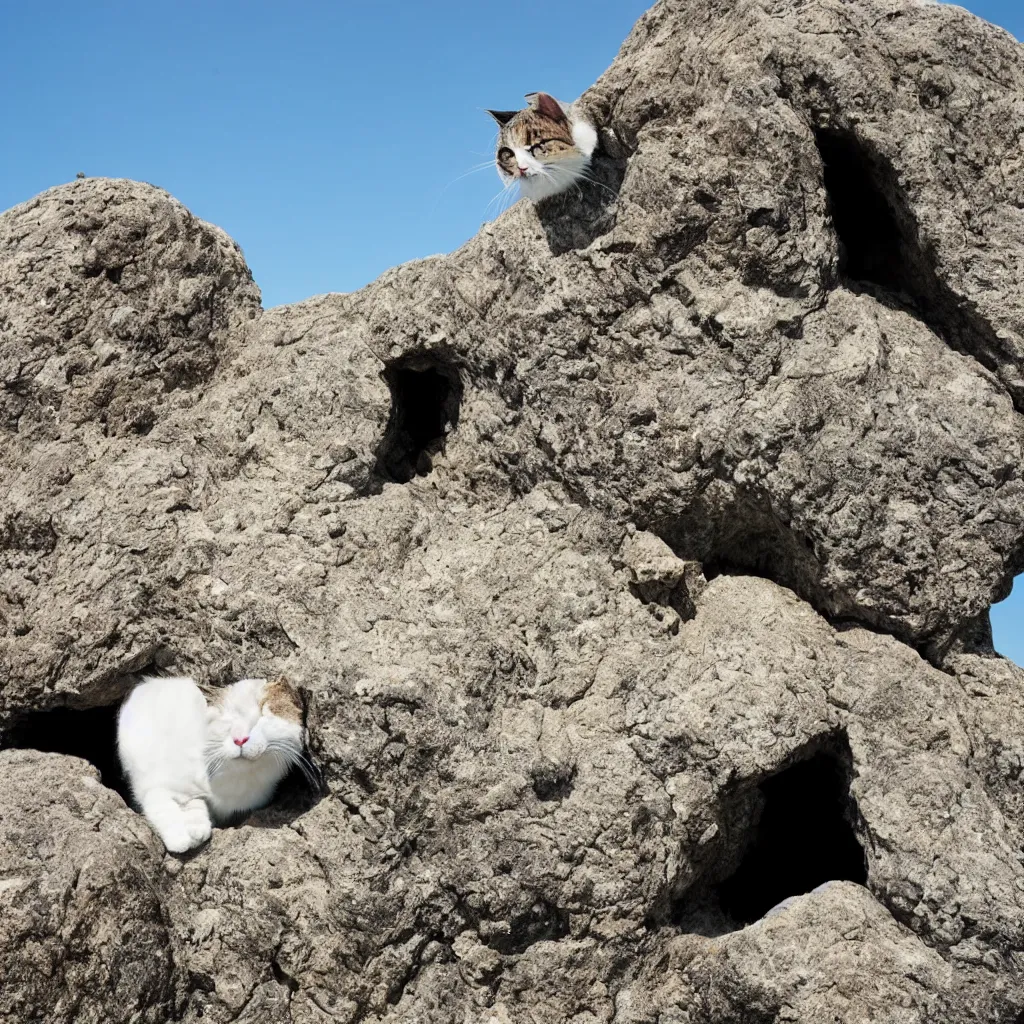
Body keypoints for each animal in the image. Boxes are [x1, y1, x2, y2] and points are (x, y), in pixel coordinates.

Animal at [116, 675, 307, 851]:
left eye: (262, 714)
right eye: (227, 720)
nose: (240, 739)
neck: (238, 778)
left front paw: (196, 829)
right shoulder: (156, 785)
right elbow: (165, 807)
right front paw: (180, 838)